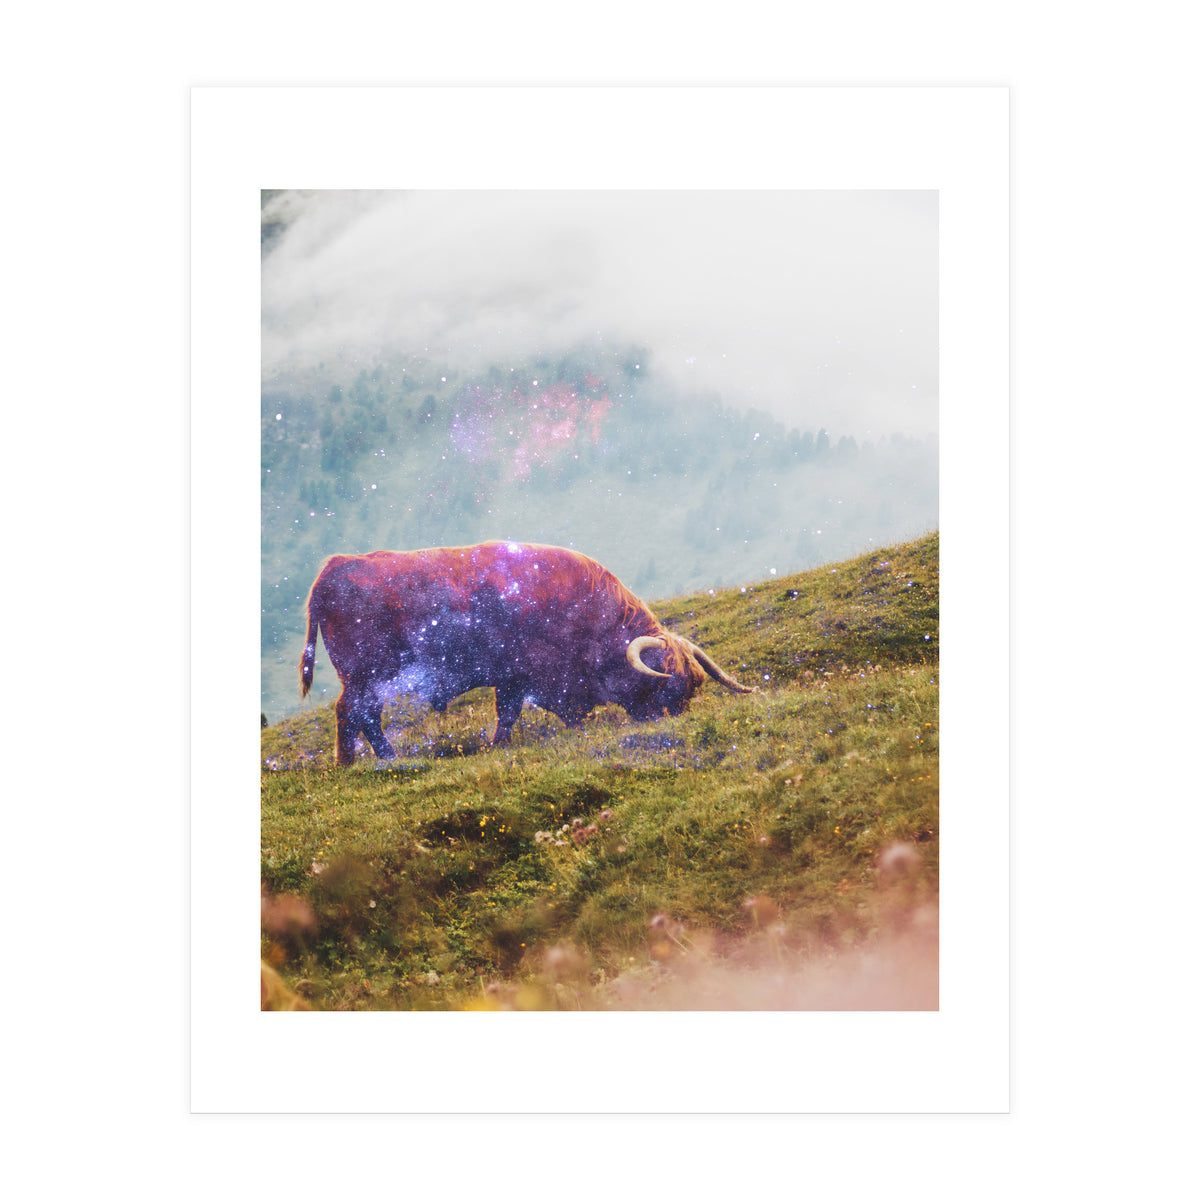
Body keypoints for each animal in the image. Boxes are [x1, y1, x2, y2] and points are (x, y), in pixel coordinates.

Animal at [299, 541, 755, 765]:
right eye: (667, 686)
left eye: (692, 686)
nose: (674, 723)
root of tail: (334, 567)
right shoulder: (526, 674)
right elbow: (513, 712)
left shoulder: (515, 679)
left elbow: (511, 712)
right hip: (367, 675)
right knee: (356, 713)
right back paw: (373, 760)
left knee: (359, 715)